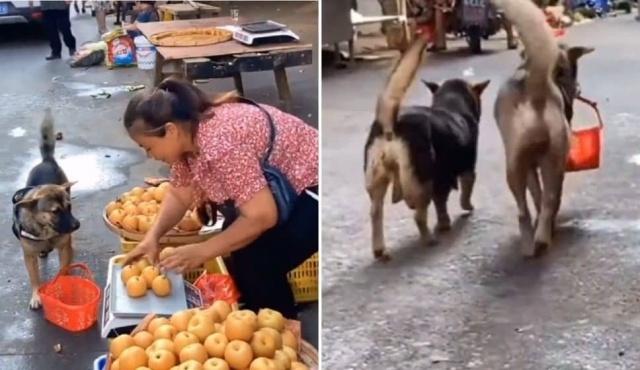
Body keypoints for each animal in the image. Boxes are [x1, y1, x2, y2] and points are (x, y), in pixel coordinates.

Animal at [12, 109, 79, 310]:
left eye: (69, 206)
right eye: (55, 211)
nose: (77, 225)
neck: (46, 230)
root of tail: (48, 160)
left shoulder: (64, 248)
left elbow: (63, 269)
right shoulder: (29, 257)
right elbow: (34, 278)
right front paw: (36, 295)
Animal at [364, 38, 490, 260]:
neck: (451, 105)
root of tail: (391, 124)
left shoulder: (442, 180)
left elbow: (441, 203)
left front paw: (444, 222)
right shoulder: (467, 170)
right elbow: (463, 194)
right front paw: (462, 210)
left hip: (377, 180)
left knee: (375, 212)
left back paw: (379, 249)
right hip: (421, 183)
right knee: (418, 216)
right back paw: (429, 239)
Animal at [492, 0, 592, 256]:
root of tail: (535, 91)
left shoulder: (529, 166)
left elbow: (535, 194)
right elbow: (545, 197)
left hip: (515, 163)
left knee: (523, 209)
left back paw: (530, 243)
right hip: (553, 159)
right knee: (550, 199)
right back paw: (543, 239)